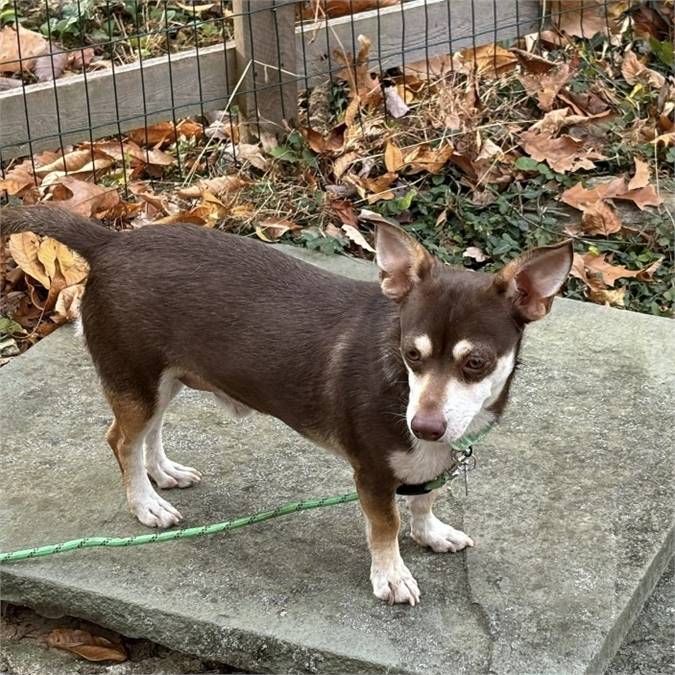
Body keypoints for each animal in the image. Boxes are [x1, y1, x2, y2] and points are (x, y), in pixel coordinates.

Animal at [0, 203, 572, 604]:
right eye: (411, 354)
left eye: (475, 362)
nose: (424, 426)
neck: (401, 390)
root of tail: (110, 242)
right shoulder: (372, 475)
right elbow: (385, 526)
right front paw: (390, 576)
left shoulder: (424, 463)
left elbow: (425, 500)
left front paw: (431, 533)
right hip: (136, 380)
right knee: (122, 440)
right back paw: (145, 504)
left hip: (162, 380)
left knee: (149, 434)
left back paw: (163, 474)